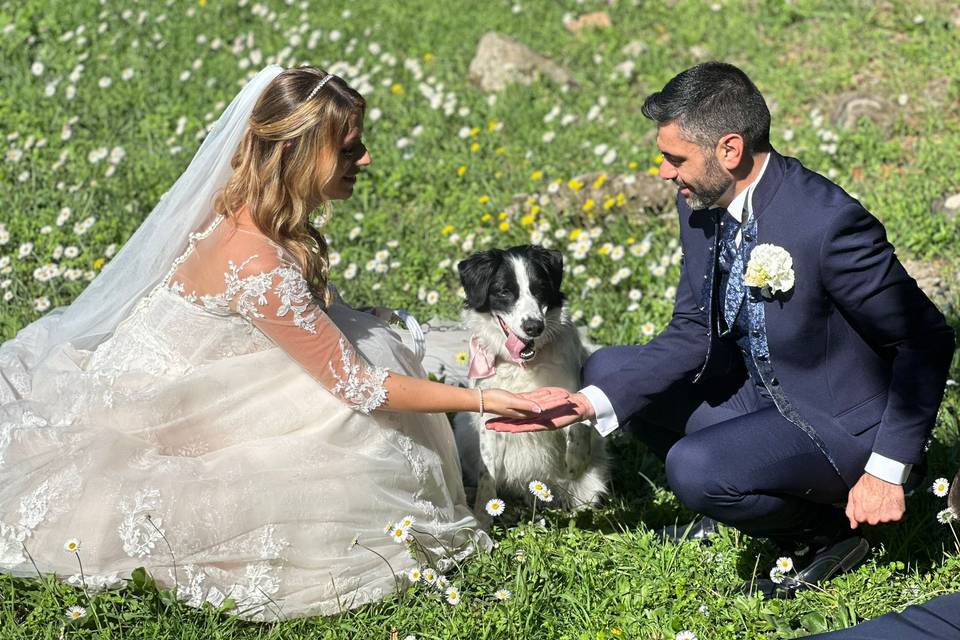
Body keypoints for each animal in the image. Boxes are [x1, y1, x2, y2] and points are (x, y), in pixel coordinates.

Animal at [452, 242, 608, 516]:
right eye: (504, 291)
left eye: (540, 289)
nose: (534, 327)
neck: (523, 365)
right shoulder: (489, 419)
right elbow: (487, 476)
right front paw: (483, 518)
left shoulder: (572, 388)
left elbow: (579, 425)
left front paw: (574, 463)